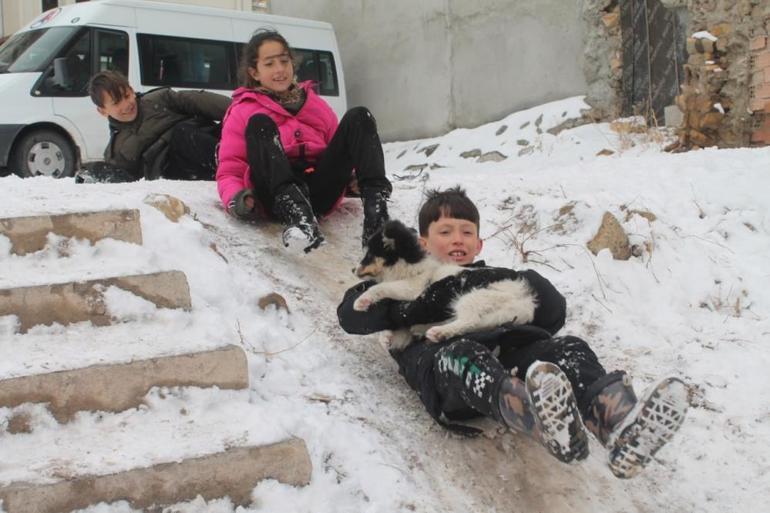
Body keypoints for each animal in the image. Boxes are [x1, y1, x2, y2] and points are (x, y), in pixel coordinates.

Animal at [352, 218, 536, 350]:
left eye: (369, 255)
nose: (353, 269)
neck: (410, 266)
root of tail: (524, 301)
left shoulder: (414, 288)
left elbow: (380, 287)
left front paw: (361, 301)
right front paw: (386, 336)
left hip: (475, 296)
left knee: (470, 320)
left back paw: (439, 332)